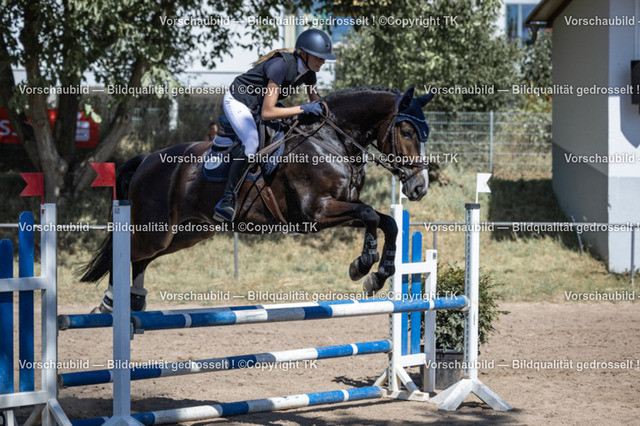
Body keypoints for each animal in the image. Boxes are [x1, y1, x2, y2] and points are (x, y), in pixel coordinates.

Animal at [79, 86, 434, 312]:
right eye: (406, 132)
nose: (420, 187)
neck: (330, 139)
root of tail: (147, 159)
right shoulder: (316, 214)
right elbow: (372, 216)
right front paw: (363, 266)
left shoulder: (339, 210)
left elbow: (386, 221)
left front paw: (378, 272)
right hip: (156, 230)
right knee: (127, 252)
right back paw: (110, 303)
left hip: (190, 233)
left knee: (141, 258)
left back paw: (134, 301)